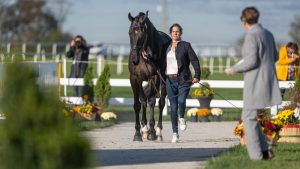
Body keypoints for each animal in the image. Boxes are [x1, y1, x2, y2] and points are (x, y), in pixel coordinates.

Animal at [127, 11, 171, 141]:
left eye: (142, 32)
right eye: (130, 32)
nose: (134, 59)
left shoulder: (154, 77)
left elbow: (152, 101)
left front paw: (151, 131)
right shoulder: (135, 79)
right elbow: (138, 104)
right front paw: (138, 133)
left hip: (163, 81)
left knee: (161, 103)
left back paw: (158, 132)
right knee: (144, 101)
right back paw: (144, 129)